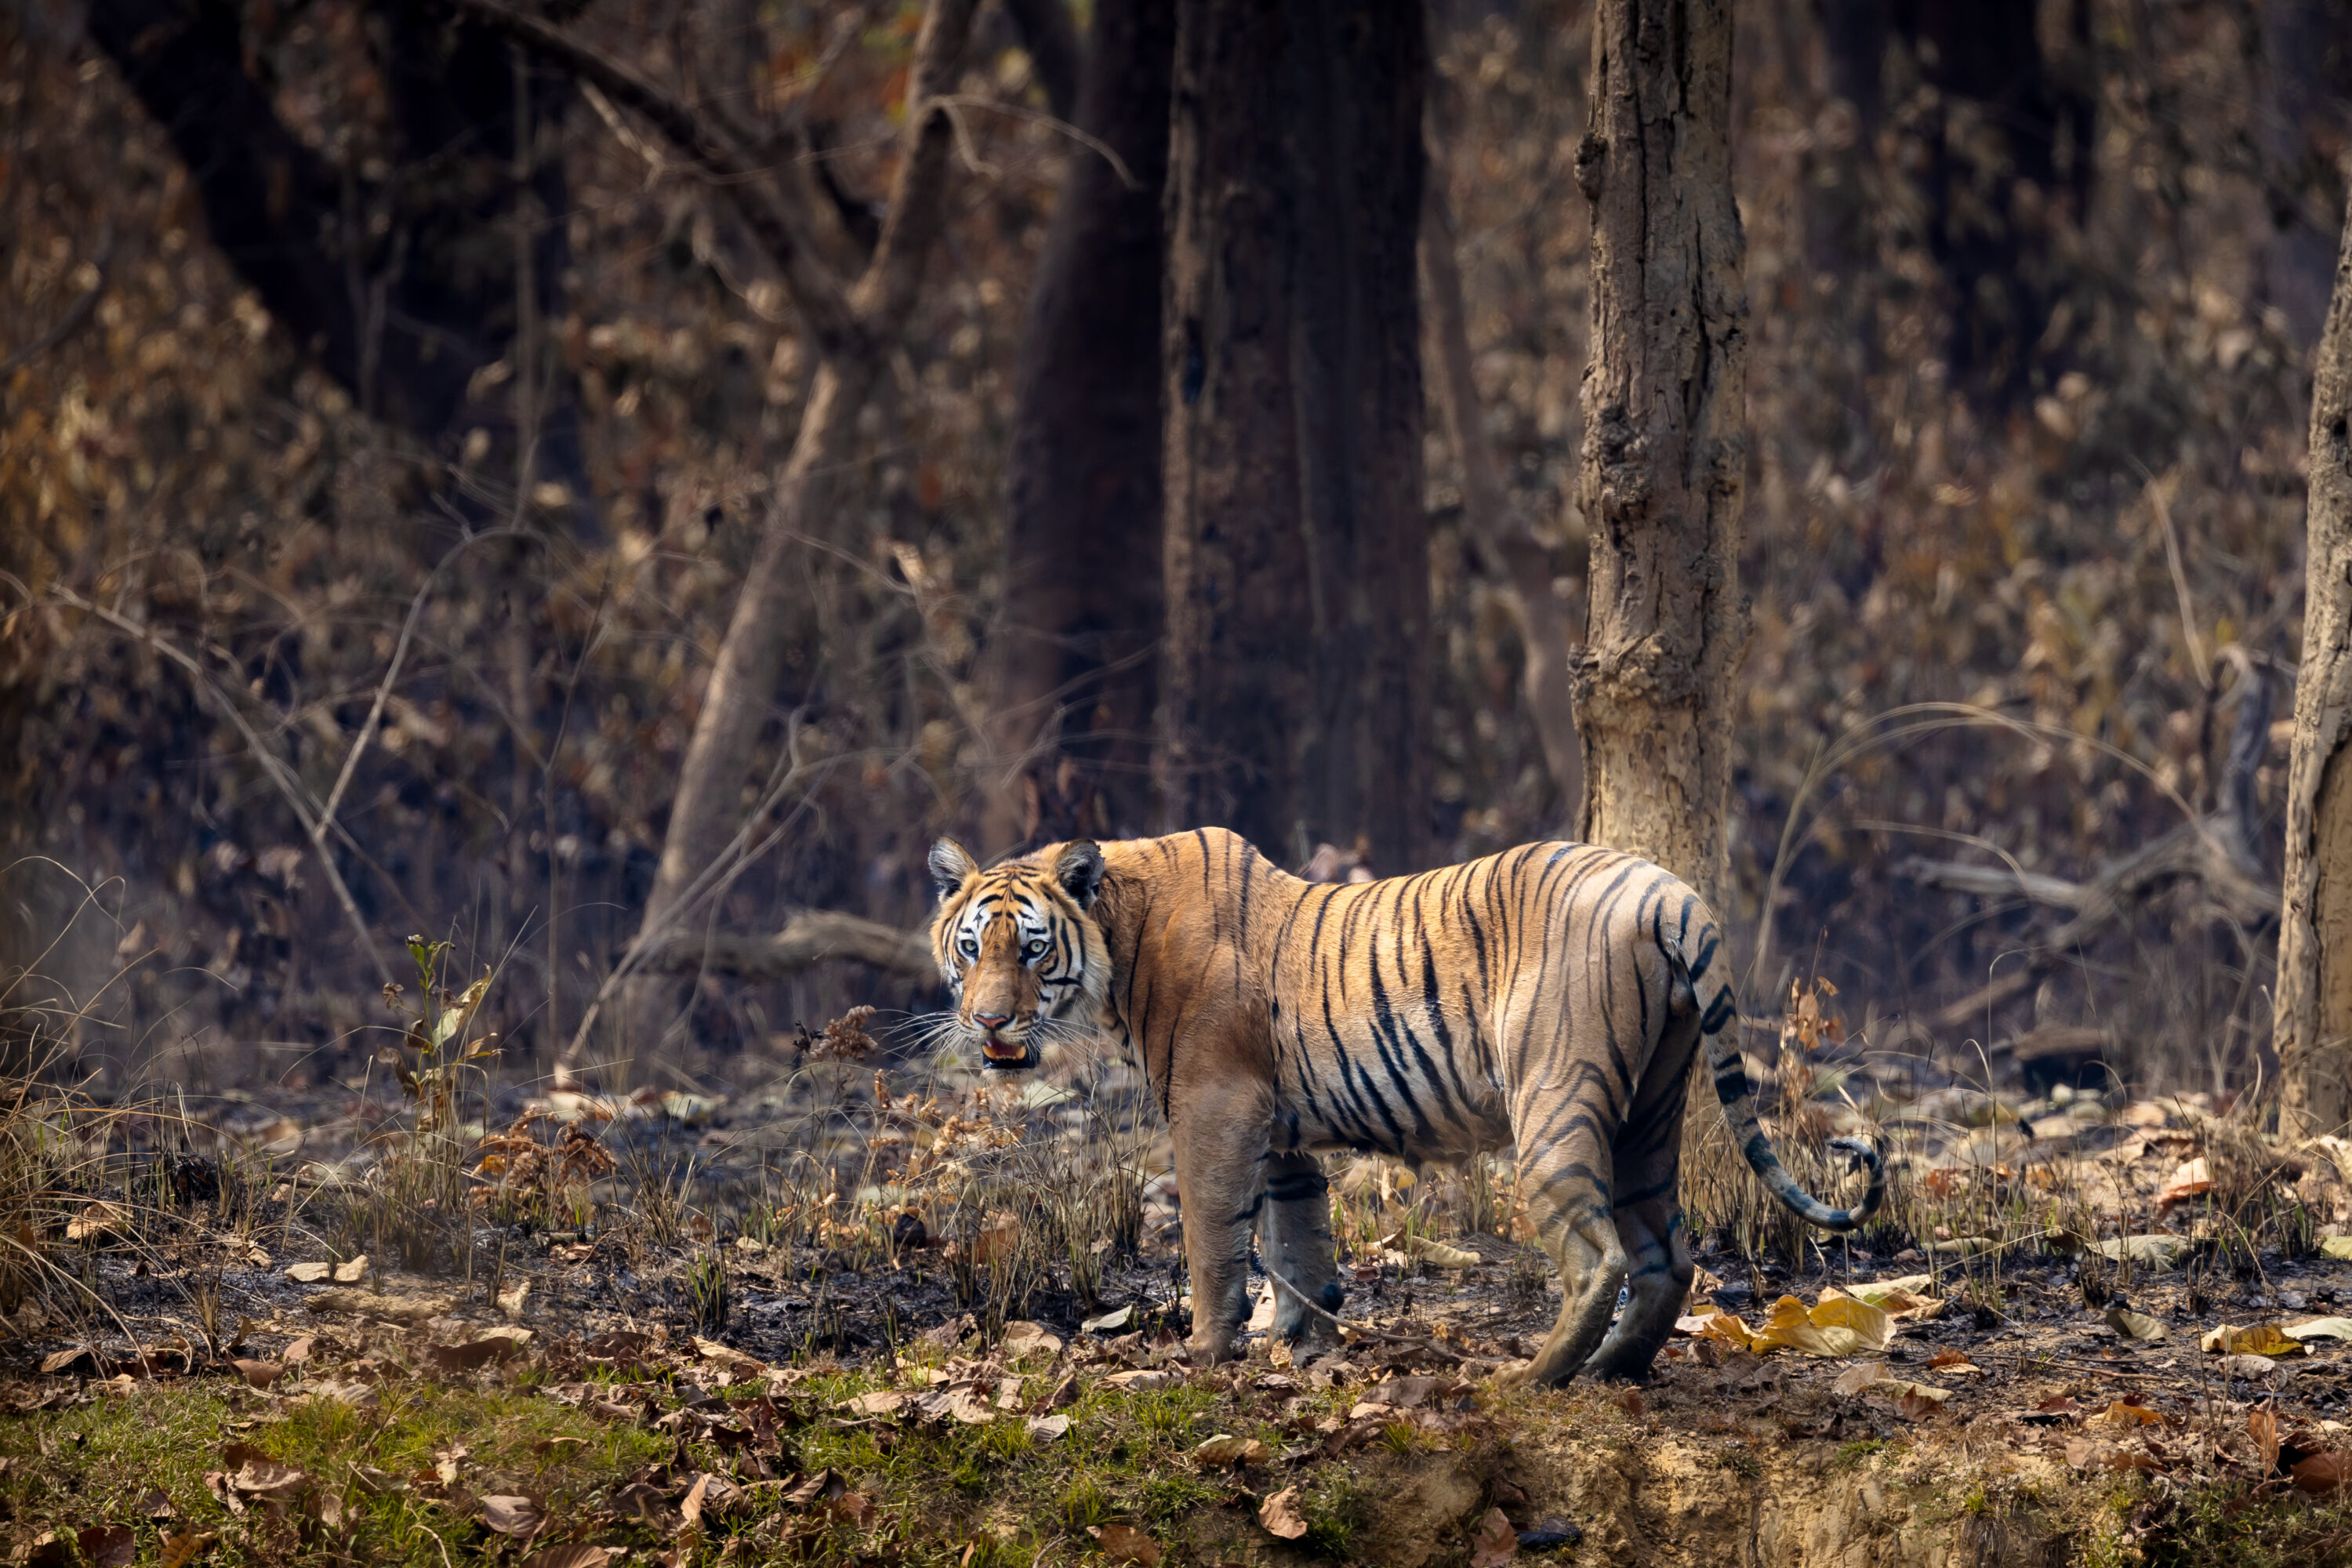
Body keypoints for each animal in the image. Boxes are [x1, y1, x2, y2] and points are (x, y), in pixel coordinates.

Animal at [924, 827, 1883, 1385]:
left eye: (1031, 950)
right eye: (971, 949)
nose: (988, 1020)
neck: (1116, 932)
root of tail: (1669, 891)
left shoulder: (1214, 1108)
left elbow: (1211, 1240)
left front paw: (1206, 1354)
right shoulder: (1277, 1131)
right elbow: (1299, 1242)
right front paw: (1306, 1350)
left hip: (1555, 1102)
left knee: (1600, 1256)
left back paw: (1532, 1379)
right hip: (1652, 1108)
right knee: (1665, 1254)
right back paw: (1613, 1368)